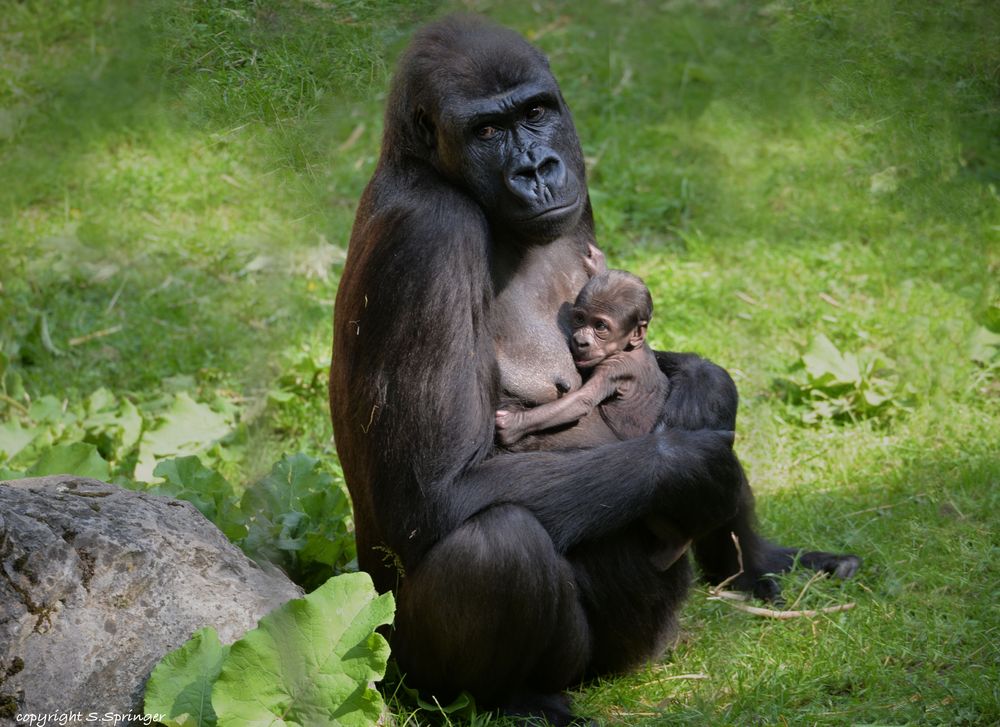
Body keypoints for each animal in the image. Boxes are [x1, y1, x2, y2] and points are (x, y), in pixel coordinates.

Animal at [330, 14, 860, 724]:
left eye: (535, 113)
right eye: (487, 131)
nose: (536, 170)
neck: (424, 165)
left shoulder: (578, 197)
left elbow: (669, 365)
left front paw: (704, 385)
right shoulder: (430, 235)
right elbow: (436, 493)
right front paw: (693, 466)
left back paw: (752, 565)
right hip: (394, 660)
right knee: (496, 543)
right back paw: (513, 700)